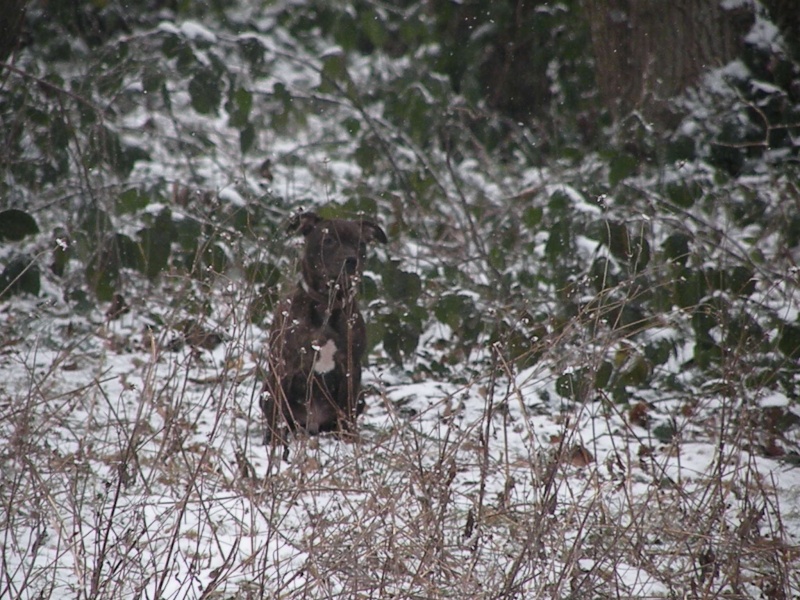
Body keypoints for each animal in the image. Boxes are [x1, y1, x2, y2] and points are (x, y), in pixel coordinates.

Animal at [260, 211, 386, 446]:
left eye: (361, 244)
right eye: (328, 240)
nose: (351, 260)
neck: (328, 303)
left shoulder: (350, 368)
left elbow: (347, 409)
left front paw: (348, 443)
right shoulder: (285, 367)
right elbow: (277, 412)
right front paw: (274, 445)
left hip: (360, 397)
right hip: (266, 391)